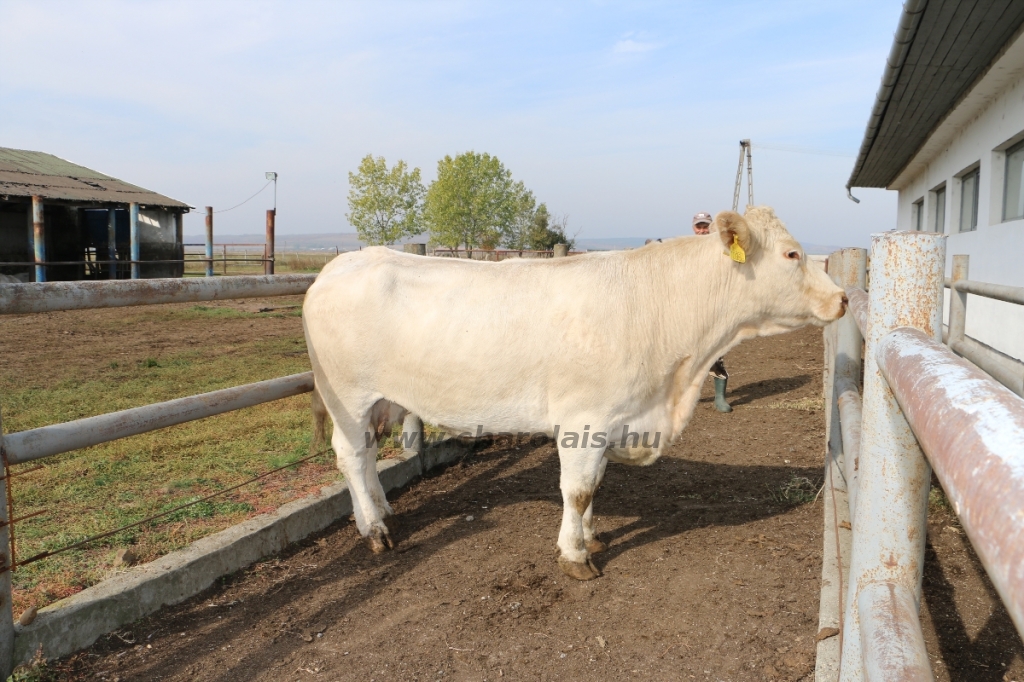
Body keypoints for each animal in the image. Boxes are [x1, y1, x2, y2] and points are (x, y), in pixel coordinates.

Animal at [303, 205, 847, 577]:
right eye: (792, 254)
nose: (842, 298)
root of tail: (342, 264)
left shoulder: (610, 422)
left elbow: (594, 487)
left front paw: (591, 537)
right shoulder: (584, 418)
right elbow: (579, 489)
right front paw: (574, 556)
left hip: (376, 401)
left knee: (367, 458)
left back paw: (379, 512)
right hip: (347, 397)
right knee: (350, 456)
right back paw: (374, 531)